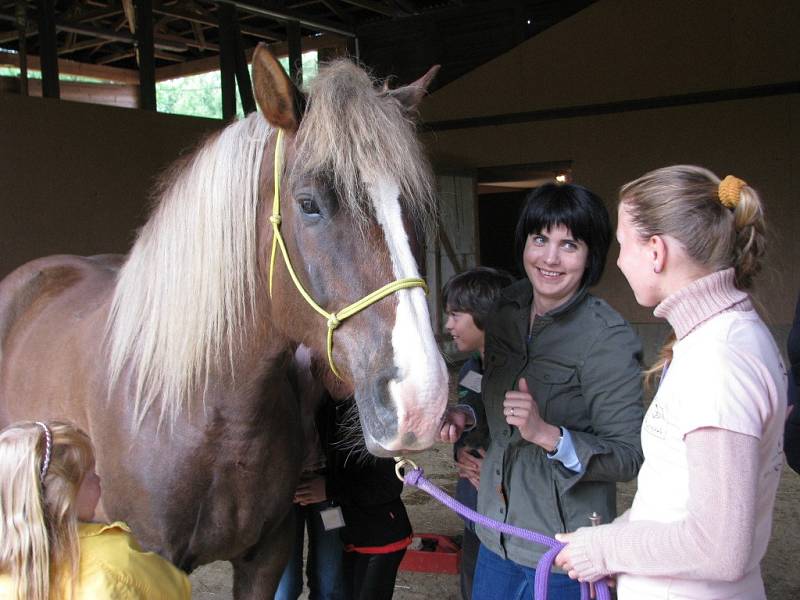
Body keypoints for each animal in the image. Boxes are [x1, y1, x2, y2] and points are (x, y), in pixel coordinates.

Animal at [0, 45, 446, 596]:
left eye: (414, 206)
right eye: (309, 204)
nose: (422, 400)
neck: (205, 411)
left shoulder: (266, 556)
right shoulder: (149, 560)